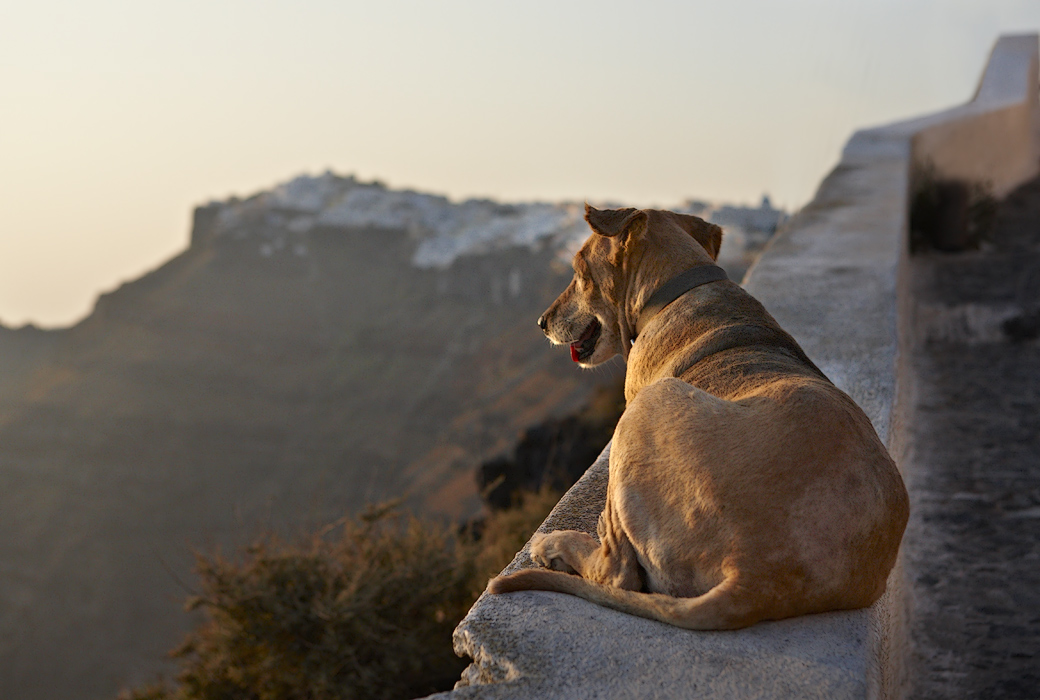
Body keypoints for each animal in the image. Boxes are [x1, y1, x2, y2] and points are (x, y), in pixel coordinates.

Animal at [488, 203, 911, 628]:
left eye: (579, 272)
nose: (542, 322)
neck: (675, 289)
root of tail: (754, 575)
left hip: (648, 407)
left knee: (617, 571)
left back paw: (555, 544)